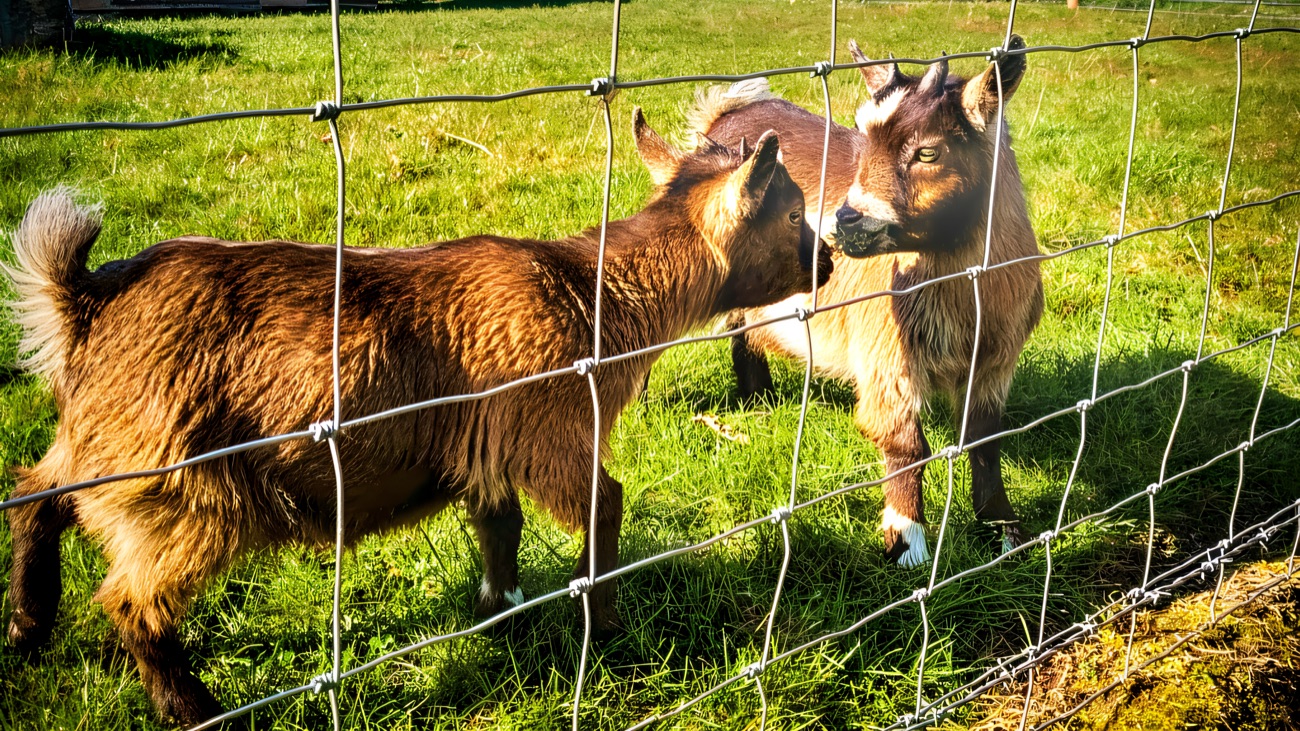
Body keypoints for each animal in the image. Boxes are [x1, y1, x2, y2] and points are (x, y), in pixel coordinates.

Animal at [2, 110, 832, 726]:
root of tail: (84, 301)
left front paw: (500, 609)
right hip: (183, 488)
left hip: (105, 450)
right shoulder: (551, 430)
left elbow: (499, 525)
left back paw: (28, 624)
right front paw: (605, 625)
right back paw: (195, 707)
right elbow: (605, 505)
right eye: (793, 210)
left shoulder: (488, 445)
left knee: (35, 492)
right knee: (132, 599)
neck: (594, 292)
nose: (827, 263)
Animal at [692, 36, 1043, 566]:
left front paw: (1004, 532)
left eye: (928, 152)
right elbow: (906, 445)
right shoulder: (886, 352)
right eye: (863, 134)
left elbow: (986, 438)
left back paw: (759, 400)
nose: (844, 222)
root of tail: (728, 114)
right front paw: (907, 544)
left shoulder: (996, 357)